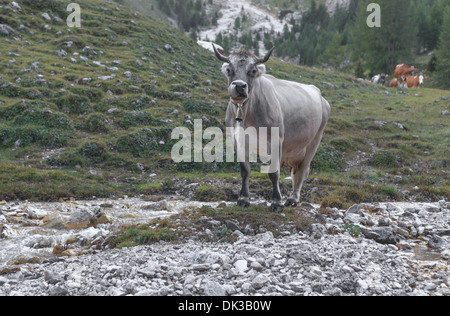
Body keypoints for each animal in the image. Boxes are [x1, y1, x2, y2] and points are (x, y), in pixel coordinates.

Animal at [213, 44, 332, 212]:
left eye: (253, 71)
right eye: (229, 69)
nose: (240, 86)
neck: (247, 114)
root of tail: (318, 93)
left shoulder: (276, 140)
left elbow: (274, 173)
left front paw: (277, 202)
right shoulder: (239, 141)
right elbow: (245, 171)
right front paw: (243, 199)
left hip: (314, 141)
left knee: (302, 171)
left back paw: (293, 199)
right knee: (295, 172)